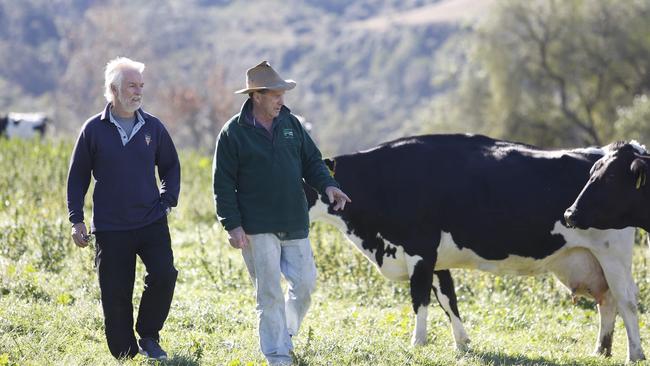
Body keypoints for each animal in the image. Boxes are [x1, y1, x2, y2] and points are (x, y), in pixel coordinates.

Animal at [306, 134, 644, 360]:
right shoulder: (436, 259)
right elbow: (448, 300)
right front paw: (462, 343)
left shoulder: (420, 251)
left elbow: (420, 300)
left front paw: (418, 343)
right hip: (593, 259)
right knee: (607, 300)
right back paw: (600, 350)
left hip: (613, 253)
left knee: (626, 300)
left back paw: (635, 353)